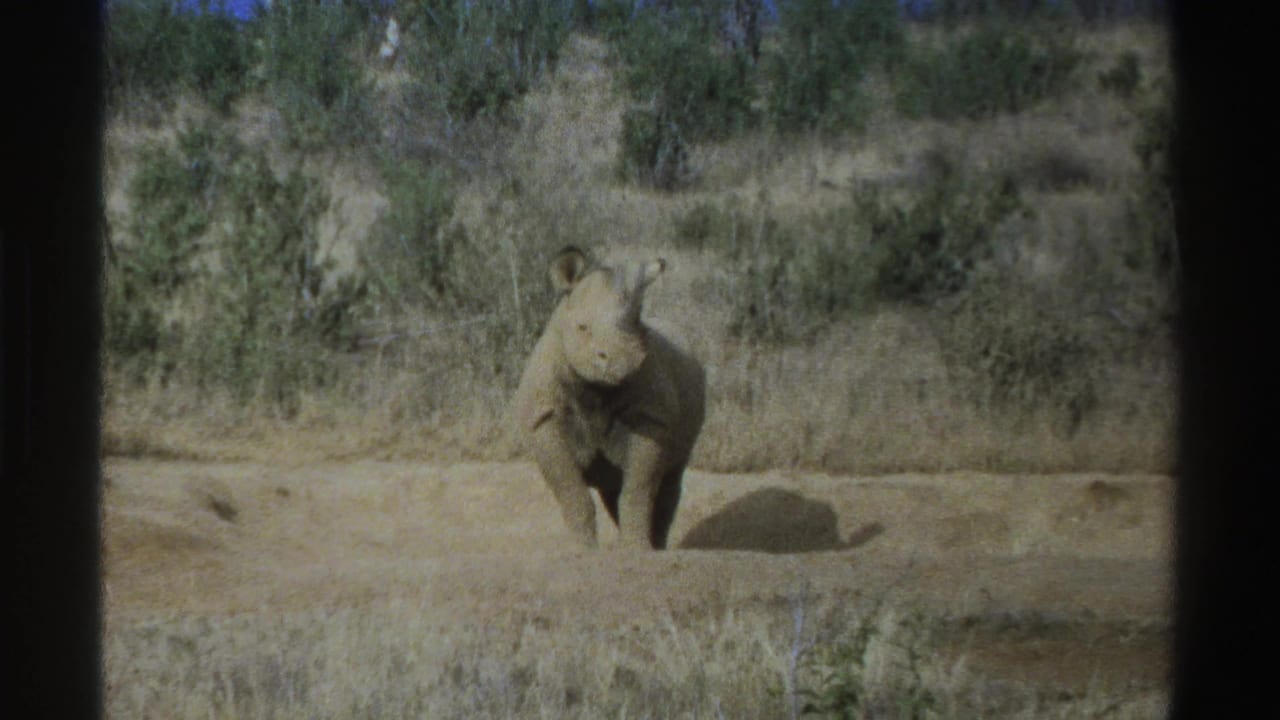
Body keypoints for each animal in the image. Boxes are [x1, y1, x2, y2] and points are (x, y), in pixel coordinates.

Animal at [512, 246, 706, 550]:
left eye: (637, 324)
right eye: (582, 327)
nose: (621, 360)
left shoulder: (651, 416)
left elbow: (638, 491)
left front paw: (637, 550)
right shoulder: (543, 418)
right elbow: (571, 492)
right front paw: (582, 551)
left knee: (669, 480)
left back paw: (657, 548)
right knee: (612, 488)